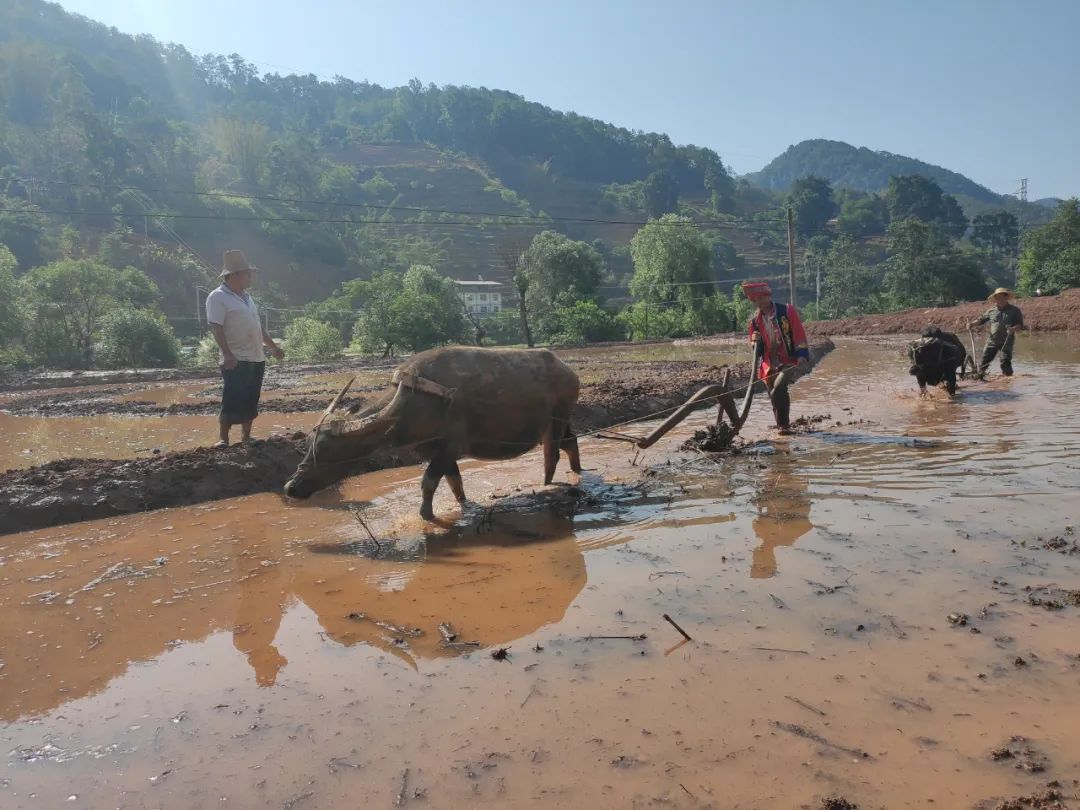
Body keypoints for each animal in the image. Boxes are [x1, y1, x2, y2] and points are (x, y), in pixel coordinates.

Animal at [282, 345, 578, 516]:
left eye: (324, 448)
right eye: (308, 444)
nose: (290, 487)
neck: (415, 401)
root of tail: (569, 372)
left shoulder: (449, 448)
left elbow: (428, 483)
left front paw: (426, 515)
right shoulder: (436, 451)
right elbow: (454, 483)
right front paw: (462, 505)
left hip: (557, 419)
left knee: (551, 455)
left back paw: (548, 485)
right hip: (560, 422)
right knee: (570, 443)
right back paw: (576, 472)